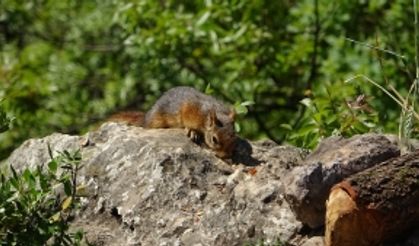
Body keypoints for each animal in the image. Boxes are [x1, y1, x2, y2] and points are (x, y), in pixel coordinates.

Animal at [108, 86, 238, 160]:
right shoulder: (189, 109)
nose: (225, 156)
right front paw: (193, 131)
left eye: (234, 137)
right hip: (156, 120)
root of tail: (146, 117)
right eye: (214, 139)